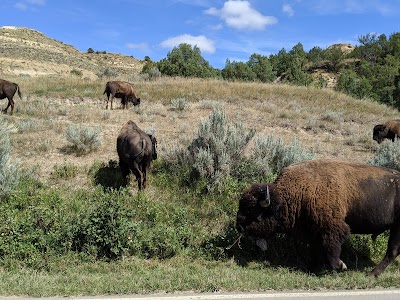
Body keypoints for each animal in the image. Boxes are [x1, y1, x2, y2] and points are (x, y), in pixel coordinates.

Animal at [236, 159, 400, 276]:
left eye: (252, 212)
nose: (239, 227)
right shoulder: (314, 231)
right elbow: (316, 251)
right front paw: (312, 268)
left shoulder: (332, 229)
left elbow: (330, 250)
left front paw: (341, 266)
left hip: (396, 227)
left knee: (392, 251)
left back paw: (372, 274)